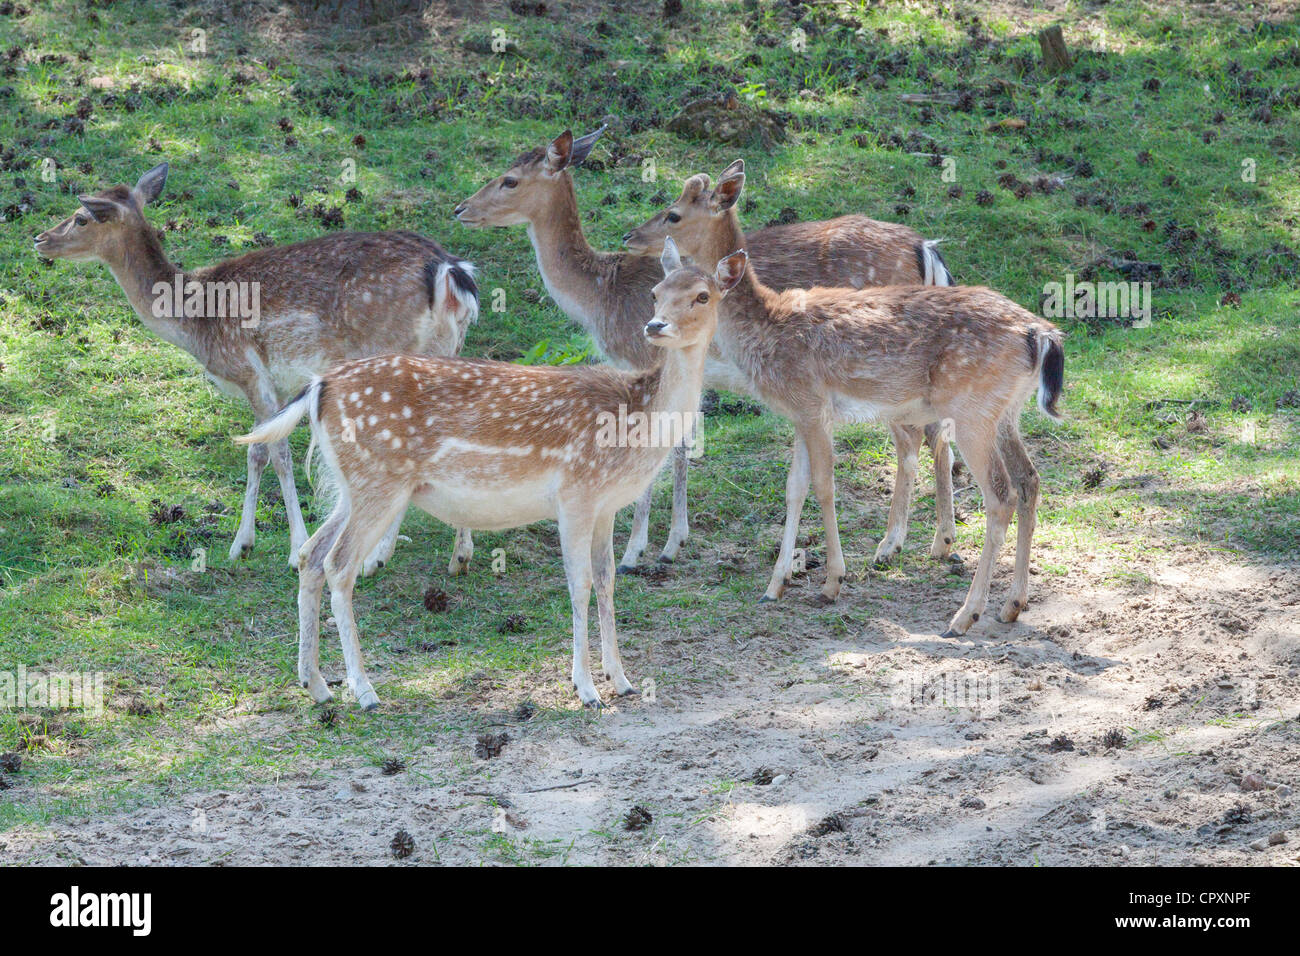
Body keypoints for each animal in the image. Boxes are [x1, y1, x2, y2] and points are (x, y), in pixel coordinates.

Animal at [34, 163, 478, 575]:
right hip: (449, 350)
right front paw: (242, 545)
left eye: (81, 217)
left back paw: (378, 557)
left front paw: (293, 550)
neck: (195, 323)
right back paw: (457, 556)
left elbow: (275, 452)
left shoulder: (250, 371)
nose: (40, 238)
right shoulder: (276, 386)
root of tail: (450, 272)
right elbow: (255, 452)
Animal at [236, 238, 738, 709]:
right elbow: (579, 585)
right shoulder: (576, 493)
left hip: (353, 485)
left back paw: (316, 684)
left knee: (310, 556)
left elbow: (608, 580)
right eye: (656, 293)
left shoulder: (605, 505)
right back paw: (364, 690)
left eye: (702, 296)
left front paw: (622, 680)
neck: (636, 423)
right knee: (339, 566)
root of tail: (319, 387)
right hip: (378, 481)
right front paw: (586, 688)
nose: (656, 326)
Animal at [453, 128, 957, 574]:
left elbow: (666, 451)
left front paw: (639, 551)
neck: (599, 297)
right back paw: (939, 542)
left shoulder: (648, 358)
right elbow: (683, 445)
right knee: (937, 433)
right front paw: (673, 542)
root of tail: (926, 248)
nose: (460, 209)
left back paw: (891, 545)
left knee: (912, 439)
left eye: (509, 180)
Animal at [623, 163, 1065, 638]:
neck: (765, 328)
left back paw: (964, 614)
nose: (654, 326)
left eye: (673, 214)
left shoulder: (812, 405)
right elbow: (794, 489)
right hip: (1005, 411)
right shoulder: (799, 413)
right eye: (656, 293)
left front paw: (833, 582)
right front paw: (774, 586)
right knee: (1029, 479)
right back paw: (1012, 604)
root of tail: (1041, 334)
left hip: (973, 410)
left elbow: (824, 484)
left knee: (999, 494)